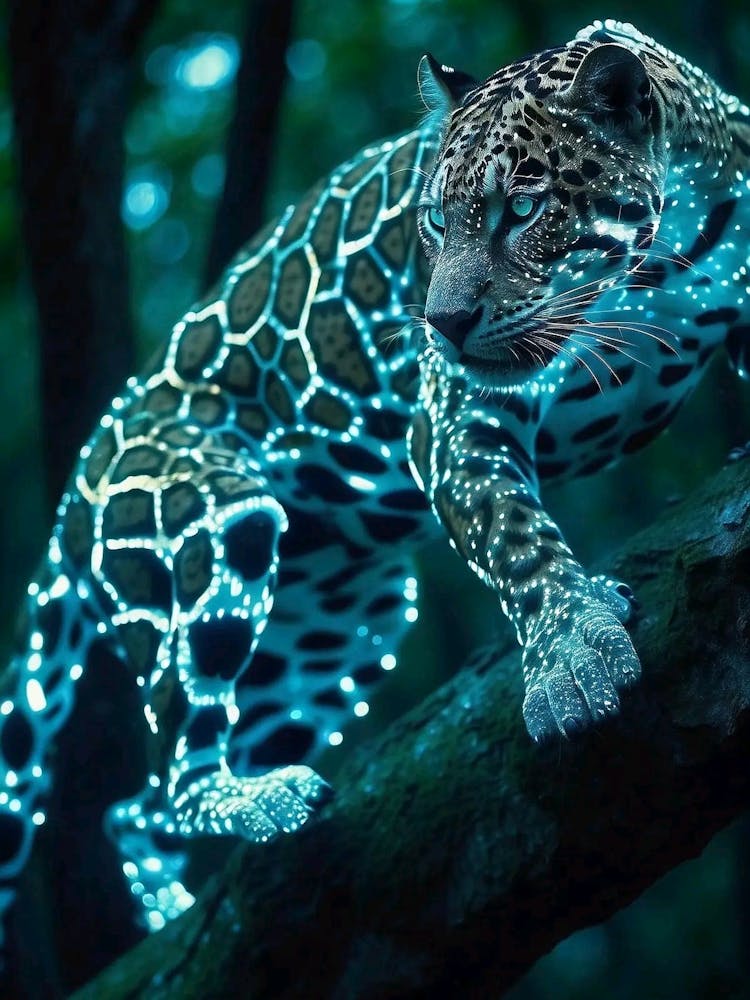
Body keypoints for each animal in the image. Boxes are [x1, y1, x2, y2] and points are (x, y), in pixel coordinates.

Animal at [1, 19, 749, 938]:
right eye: (434, 219)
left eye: (523, 209)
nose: (442, 323)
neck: (660, 268)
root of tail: (74, 485)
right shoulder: (452, 420)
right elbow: (518, 542)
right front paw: (572, 653)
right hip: (213, 526)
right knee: (169, 773)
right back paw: (255, 806)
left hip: (340, 628)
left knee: (132, 809)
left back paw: (189, 892)